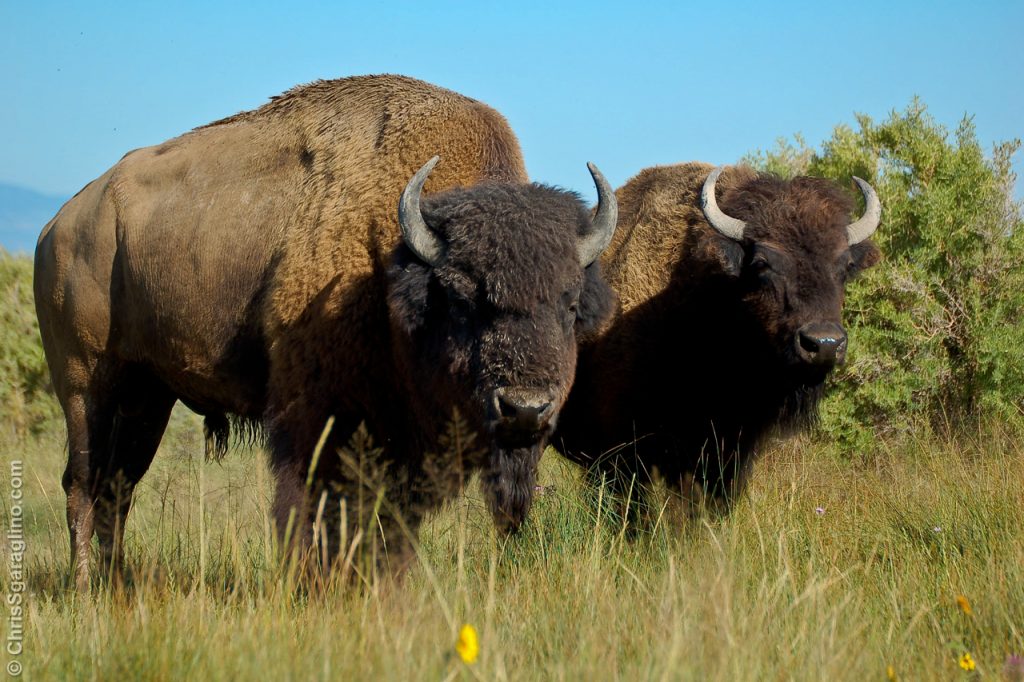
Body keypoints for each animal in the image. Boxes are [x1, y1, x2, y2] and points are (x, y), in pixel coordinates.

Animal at [34, 75, 617, 588]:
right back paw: (85, 589)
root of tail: (59, 223)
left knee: (119, 486)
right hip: (87, 388)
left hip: (148, 395)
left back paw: (118, 583)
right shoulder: (316, 415)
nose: (525, 410)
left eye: (570, 304)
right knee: (82, 484)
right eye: (460, 298)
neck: (392, 259)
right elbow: (313, 507)